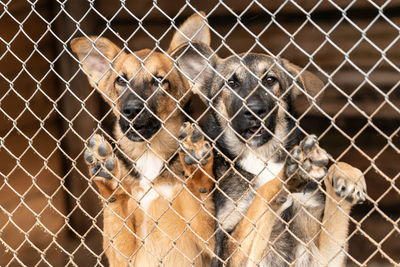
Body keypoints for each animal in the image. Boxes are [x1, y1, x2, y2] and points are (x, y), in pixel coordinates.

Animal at [70, 13, 217, 266]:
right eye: (121, 80)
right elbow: (115, 206)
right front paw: (106, 175)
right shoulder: (121, 256)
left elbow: (199, 196)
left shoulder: (211, 246)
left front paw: (197, 167)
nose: (131, 110)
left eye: (159, 81)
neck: (149, 153)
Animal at [173, 43, 368, 266]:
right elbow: (263, 193)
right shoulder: (227, 246)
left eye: (269, 80)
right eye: (231, 83)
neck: (261, 156)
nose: (255, 111)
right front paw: (289, 173)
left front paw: (347, 177)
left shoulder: (324, 254)